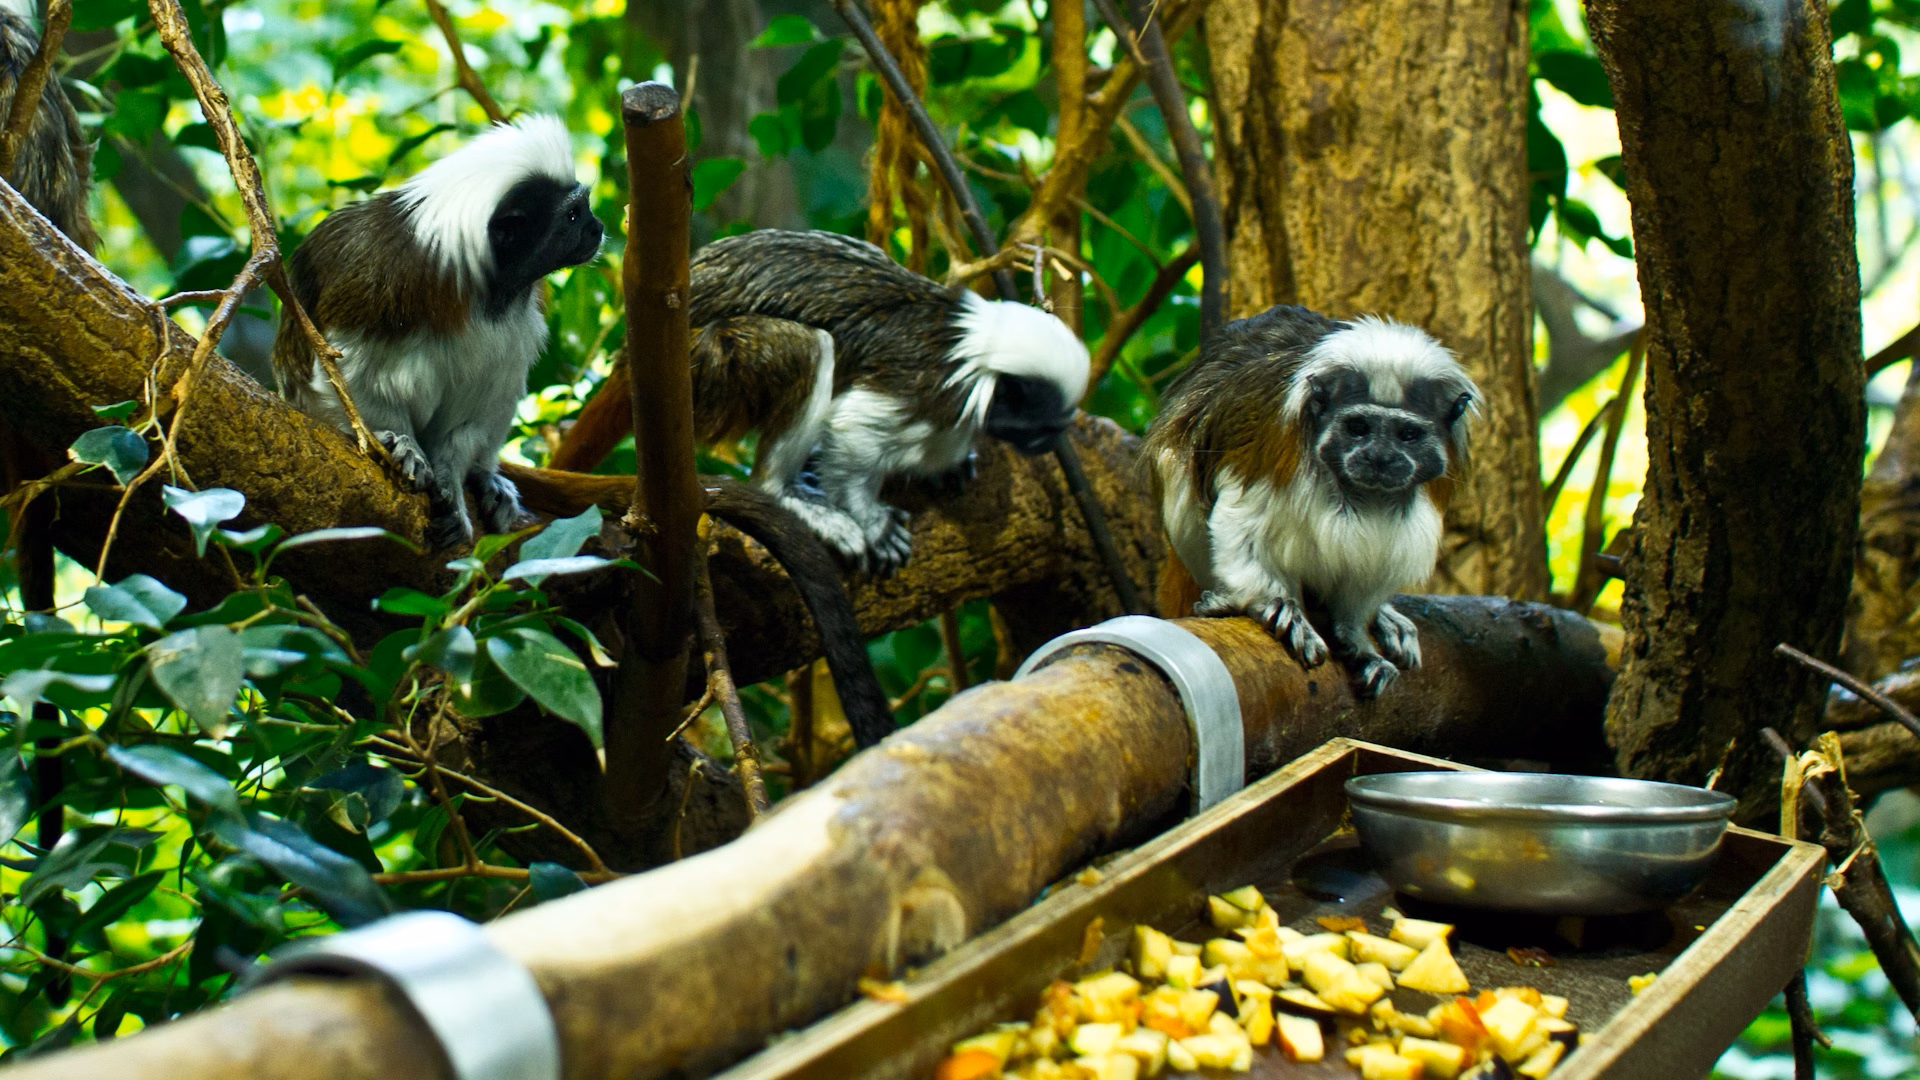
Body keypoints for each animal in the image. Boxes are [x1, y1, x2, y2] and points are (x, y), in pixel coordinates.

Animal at [273, 114, 603, 550]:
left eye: (584, 210)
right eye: (573, 215)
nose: (598, 227)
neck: (484, 288)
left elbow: (473, 413)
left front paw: (453, 483)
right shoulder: (384, 284)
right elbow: (344, 370)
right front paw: (399, 443)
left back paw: (486, 475)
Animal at [1144, 305, 1478, 698]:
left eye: (1408, 434)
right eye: (1358, 427)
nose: (1379, 458)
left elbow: (1376, 559)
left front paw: (1355, 636)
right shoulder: (1276, 443)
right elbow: (1239, 520)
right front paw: (1277, 606)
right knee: (1176, 462)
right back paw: (1223, 601)